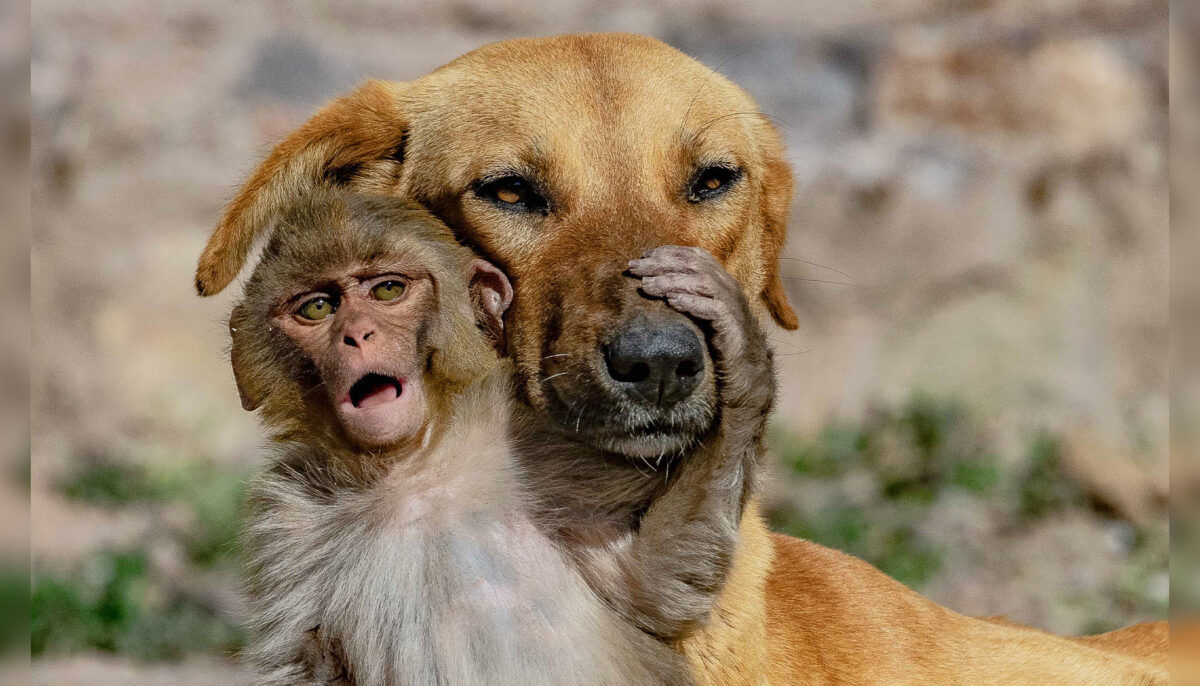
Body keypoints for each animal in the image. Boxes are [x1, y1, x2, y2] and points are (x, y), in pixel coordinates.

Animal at [230, 189, 777, 685]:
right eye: (318, 307)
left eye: (386, 291)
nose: (356, 335)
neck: (411, 469)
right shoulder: (290, 519)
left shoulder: (537, 449)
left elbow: (649, 584)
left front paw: (741, 352)